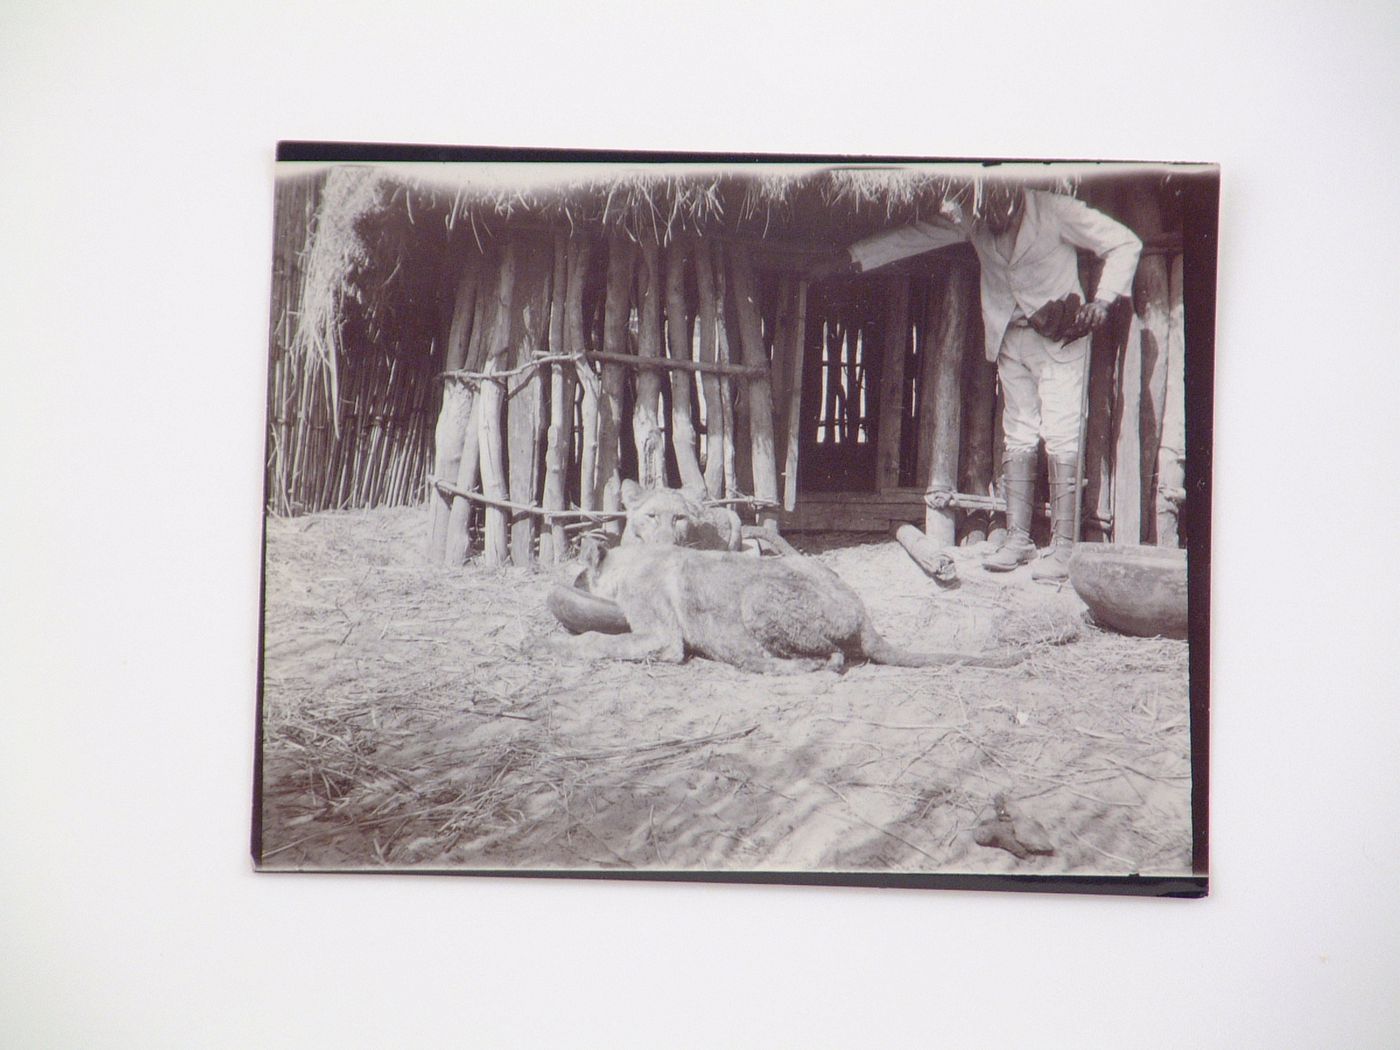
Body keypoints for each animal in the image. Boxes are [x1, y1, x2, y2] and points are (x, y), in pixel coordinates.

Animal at [551, 537, 1024, 677]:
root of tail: (864, 616)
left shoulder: (661, 636)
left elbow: (599, 640)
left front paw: (560, 648)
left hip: (759, 599)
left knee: (830, 659)